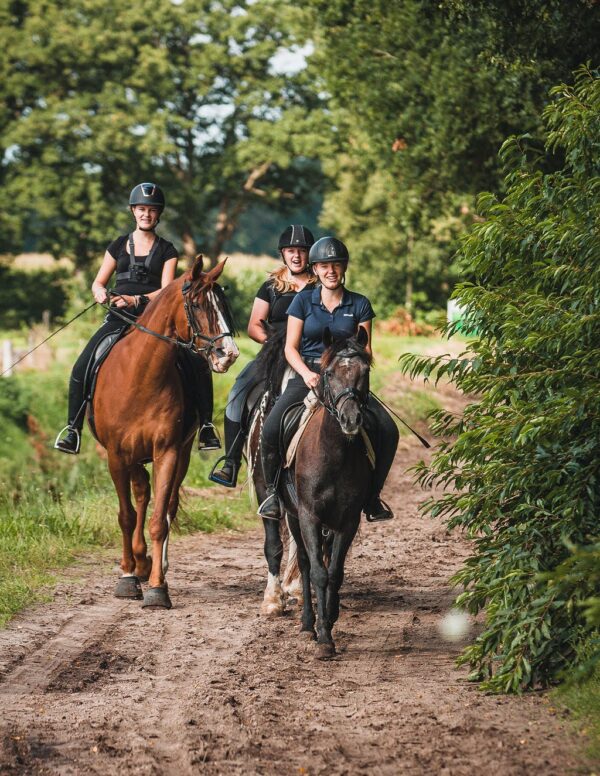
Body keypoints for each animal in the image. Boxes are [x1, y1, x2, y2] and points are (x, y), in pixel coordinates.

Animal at [93, 256, 239, 609]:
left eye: (223, 305)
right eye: (198, 304)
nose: (228, 354)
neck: (140, 374)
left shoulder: (168, 451)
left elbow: (160, 519)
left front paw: (158, 588)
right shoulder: (117, 455)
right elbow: (127, 515)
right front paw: (128, 576)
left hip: (180, 454)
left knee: (166, 503)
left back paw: (155, 565)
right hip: (132, 457)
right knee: (141, 494)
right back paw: (139, 562)